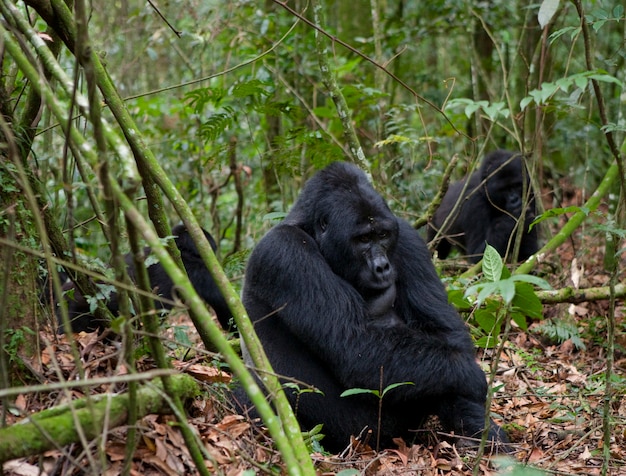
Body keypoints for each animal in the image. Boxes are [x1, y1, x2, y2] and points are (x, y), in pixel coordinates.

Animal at [236, 162, 504, 452]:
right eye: (363, 238)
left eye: (383, 235)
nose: (382, 266)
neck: (311, 232)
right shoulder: (284, 252)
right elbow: (356, 346)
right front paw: (471, 376)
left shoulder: (407, 236)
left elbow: (443, 330)